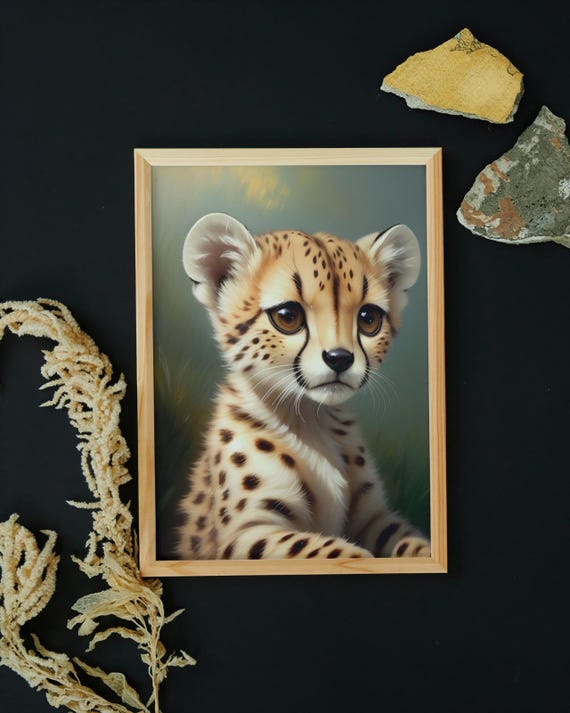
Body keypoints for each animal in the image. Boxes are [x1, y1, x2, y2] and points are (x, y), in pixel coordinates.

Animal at [176, 212, 430, 561]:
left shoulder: (374, 518)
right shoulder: (243, 534)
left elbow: (411, 542)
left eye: (368, 318)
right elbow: (326, 550)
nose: (340, 358)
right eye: (288, 316)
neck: (310, 418)